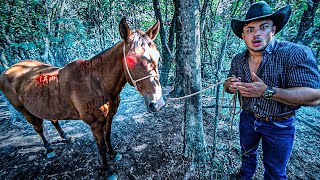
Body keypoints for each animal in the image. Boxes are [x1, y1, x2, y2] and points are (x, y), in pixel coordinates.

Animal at [0, 17, 165, 178]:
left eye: (157, 57)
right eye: (130, 60)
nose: (157, 103)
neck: (97, 83)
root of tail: (7, 71)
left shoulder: (109, 117)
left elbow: (108, 137)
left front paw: (113, 153)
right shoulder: (95, 123)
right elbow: (101, 146)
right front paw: (107, 170)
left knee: (53, 120)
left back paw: (66, 137)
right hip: (24, 110)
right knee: (38, 128)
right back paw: (49, 148)